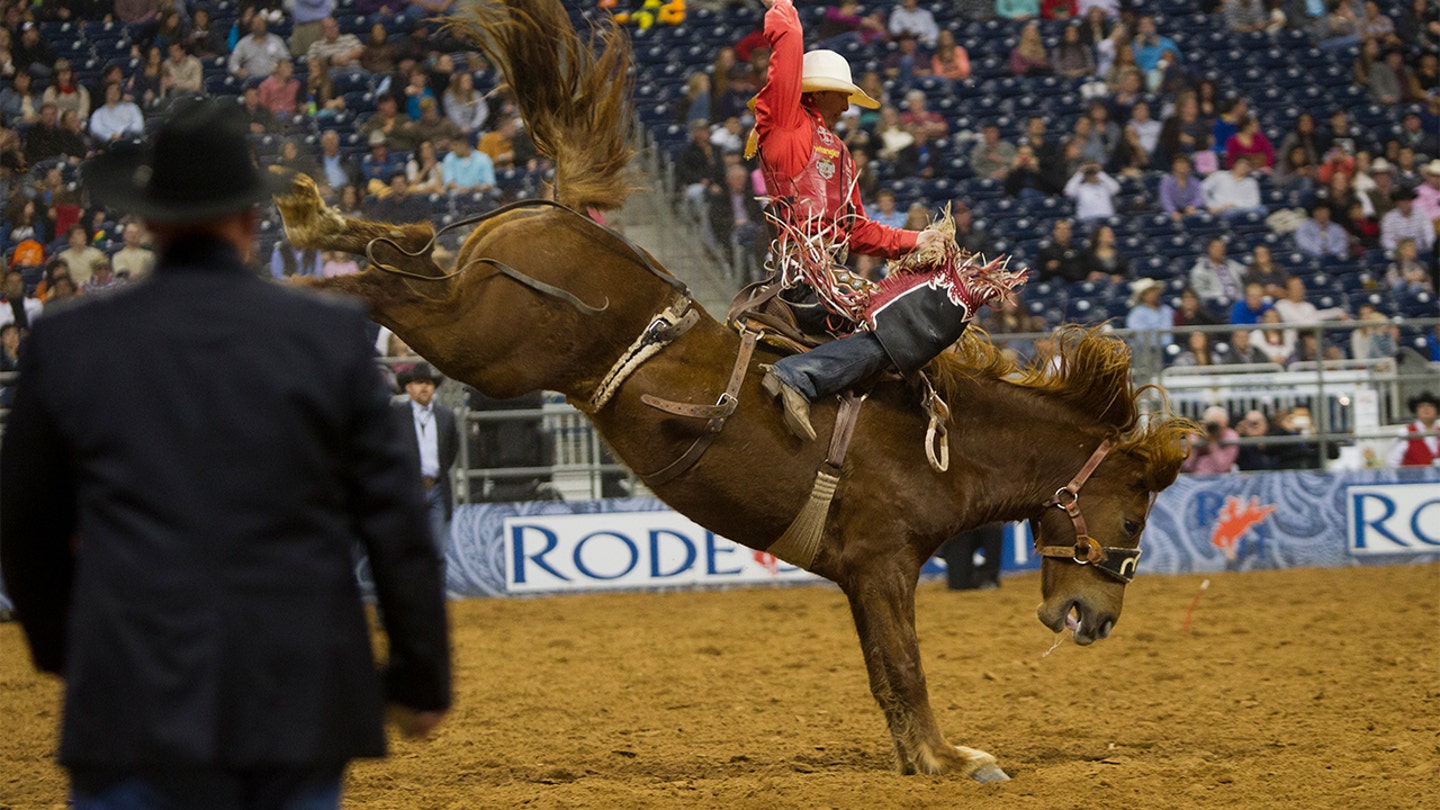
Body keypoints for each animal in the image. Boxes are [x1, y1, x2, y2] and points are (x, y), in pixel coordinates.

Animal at [272, 1, 1192, 784]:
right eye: (1134, 517)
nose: (1094, 618)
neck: (948, 440)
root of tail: (566, 215)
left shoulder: (864, 577)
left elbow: (885, 677)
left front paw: (920, 756)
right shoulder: (883, 563)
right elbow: (904, 667)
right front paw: (952, 760)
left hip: (474, 307)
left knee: (405, 248)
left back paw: (314, 216)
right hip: (487, 342)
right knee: (386, 287)